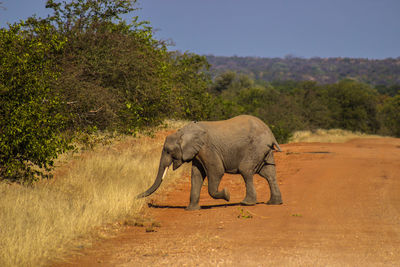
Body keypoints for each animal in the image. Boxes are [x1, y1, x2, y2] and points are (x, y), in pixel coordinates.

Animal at [138, 115, 282, 211]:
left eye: (168, 151)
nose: (136, 197)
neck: (183, 132)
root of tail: (271, 134)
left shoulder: (207, 148)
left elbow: (216, 171)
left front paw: (227, 195)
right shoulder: (197, 152)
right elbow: (196, 175)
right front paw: (191, 210)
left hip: (256, 147)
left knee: (246, 170)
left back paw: (246, 203)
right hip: (264, 150)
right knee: (269, 173)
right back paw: (274, 203)